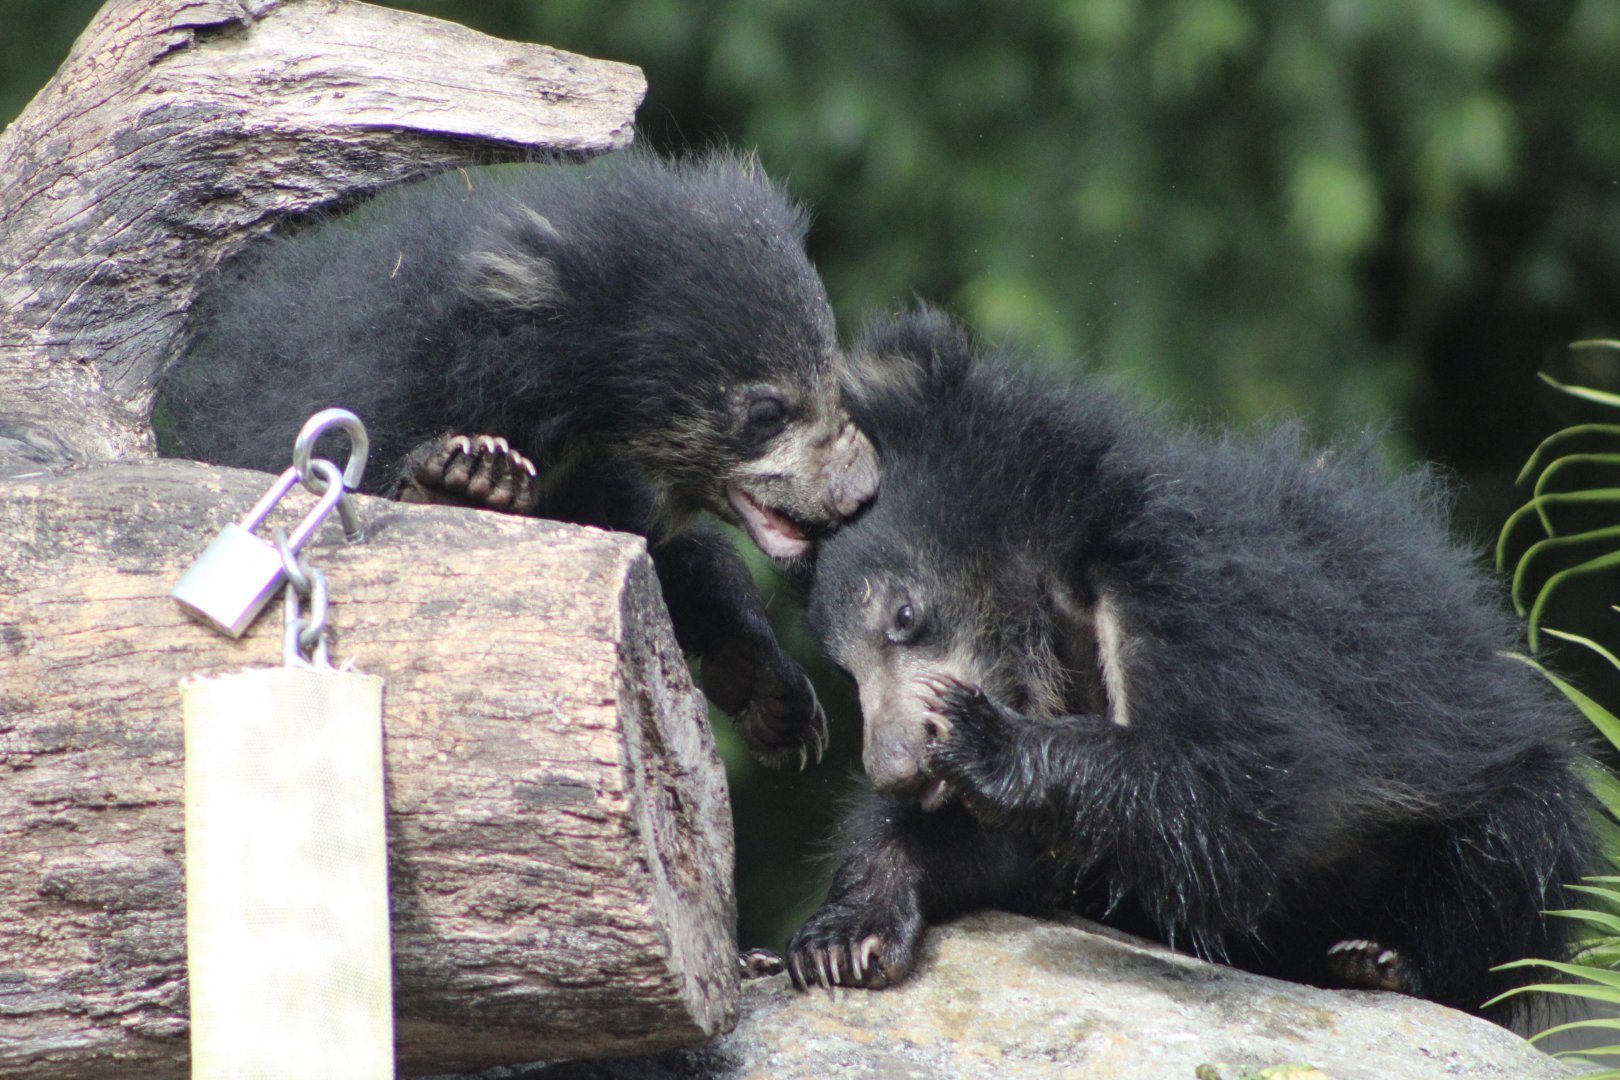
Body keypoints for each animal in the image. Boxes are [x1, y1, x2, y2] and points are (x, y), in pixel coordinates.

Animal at [154, 149, 879, 766]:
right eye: (767, 412)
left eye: (829, 383)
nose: (861, 492)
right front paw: (473, 473)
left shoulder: (602, 478)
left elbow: (670, 556)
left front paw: (777, 698)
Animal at [785, 307, 1593, 1021]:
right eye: (845, 675)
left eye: (905, 617)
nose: (895, 767)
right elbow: (1011, 850)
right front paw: (841, 939)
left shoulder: (1198, 597)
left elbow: (1234, 798)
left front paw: (981, 738)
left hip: (1507, 802)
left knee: (1507, 853)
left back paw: (1382, 961)